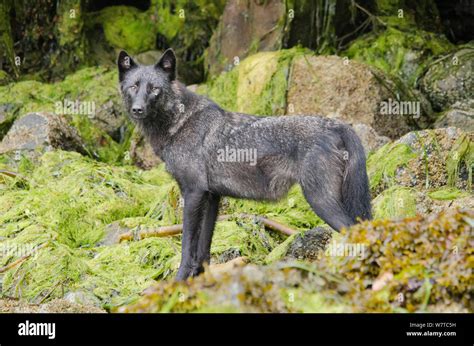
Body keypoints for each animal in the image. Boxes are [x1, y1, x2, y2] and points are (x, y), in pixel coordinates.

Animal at [117, 49, 370, 282]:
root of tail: (337, 125)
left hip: (320, 200)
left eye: (154, 89)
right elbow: (203, 250)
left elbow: (187, 247)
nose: (137, 109)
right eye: (133, 87)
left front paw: (178, 282)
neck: (180, 123)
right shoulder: (212, 197)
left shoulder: (193, 193)